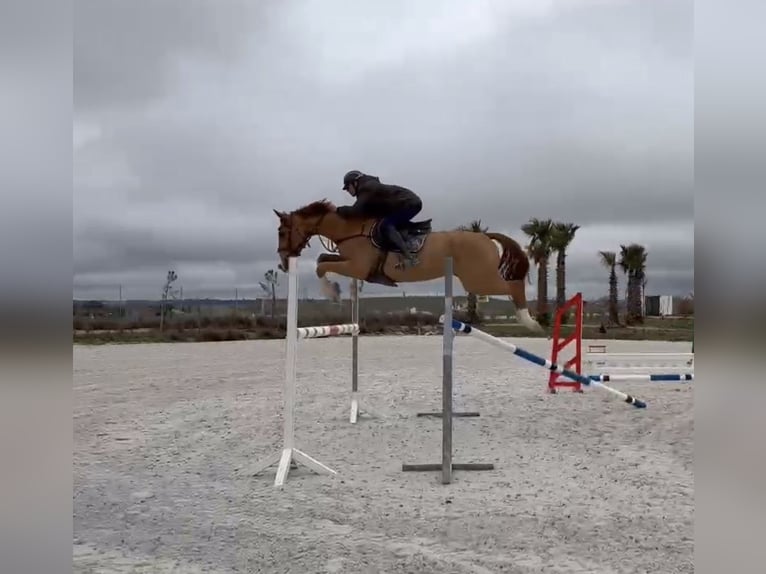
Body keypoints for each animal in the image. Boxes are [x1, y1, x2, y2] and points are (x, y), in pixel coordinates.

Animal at [272, 199, 544, 332]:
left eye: (282, 232)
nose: (283, 263)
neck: (350, 230)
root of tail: (485, 237)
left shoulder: (357, 267)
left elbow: (321, 266)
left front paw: (332, 293)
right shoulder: (350, 264)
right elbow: (322, 260)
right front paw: (337, 293)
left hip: (478, 279)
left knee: (514, 286)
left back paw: (529, 321)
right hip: (476, 279)